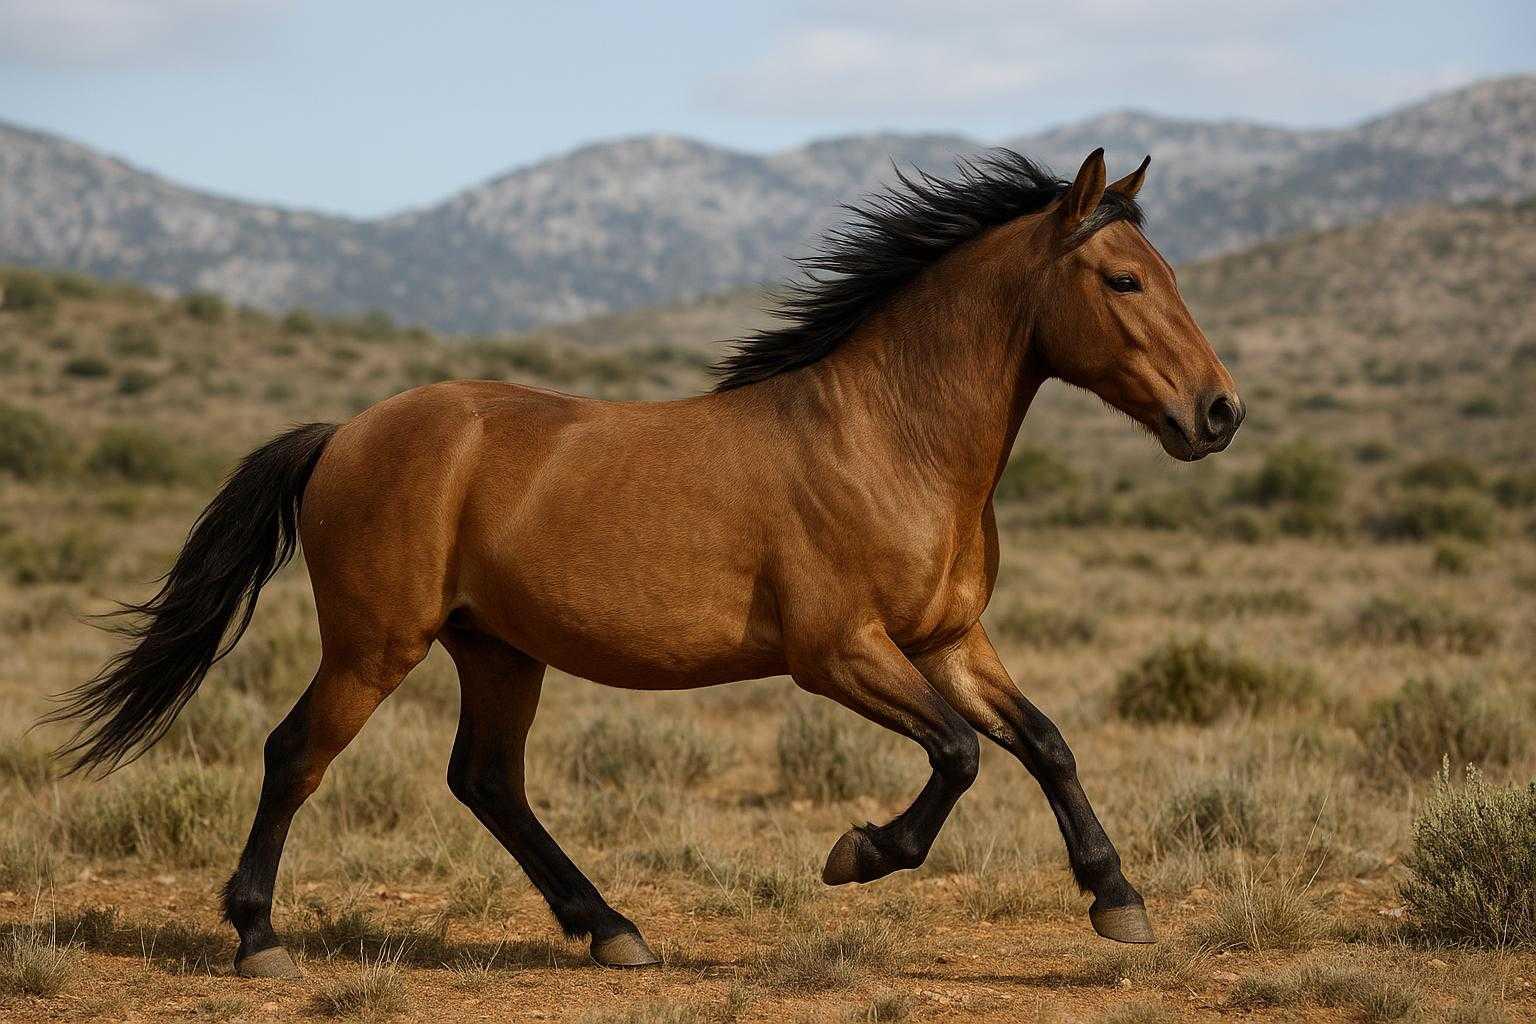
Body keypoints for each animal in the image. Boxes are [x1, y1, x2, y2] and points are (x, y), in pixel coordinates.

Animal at [47, 147, 1243, 977]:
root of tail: (344, 433)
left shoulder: (948, 639)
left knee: (486, 780)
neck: (889, 438)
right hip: (377, 643)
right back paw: (259, 940)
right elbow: (957, 756)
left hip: (497, 650)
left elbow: (1044, 743)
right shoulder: (839, 653)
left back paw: (612, 928)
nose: (1219, 413)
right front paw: (855, 853)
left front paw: (1117, 901)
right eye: (1126, 281)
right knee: (296, 754)